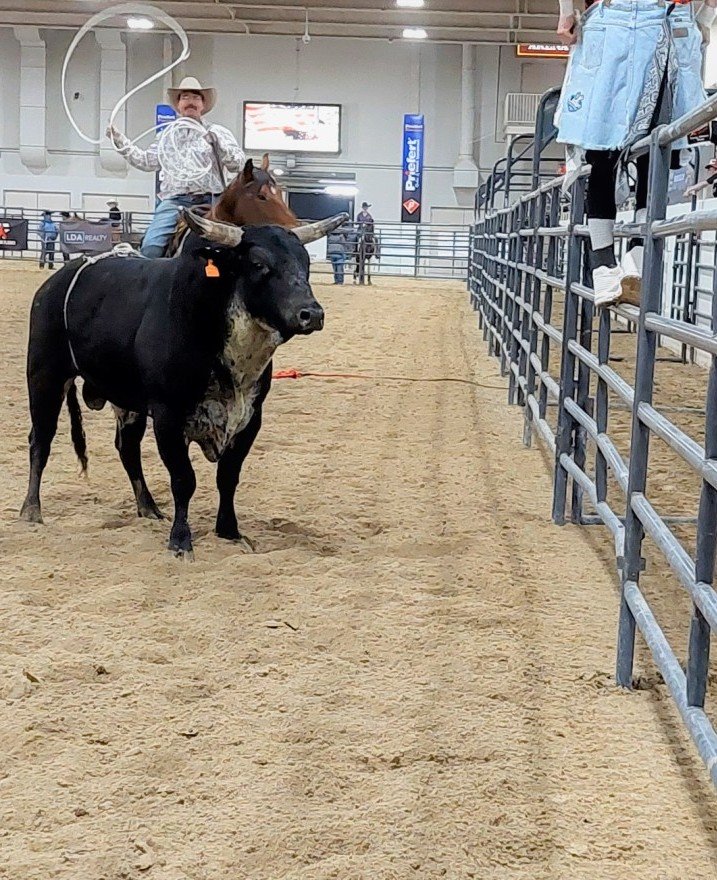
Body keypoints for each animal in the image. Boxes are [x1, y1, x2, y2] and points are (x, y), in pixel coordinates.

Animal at [20, 210, 347, 558]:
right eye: (259, 263)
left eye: (305, 262)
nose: (311, 314)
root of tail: (56, 281)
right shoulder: (168, 417)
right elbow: (183, 480)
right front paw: (180, 540)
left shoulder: (250, 419)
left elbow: (228, 477)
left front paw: (229, 532)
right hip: (44, 378)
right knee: (40, 440)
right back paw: (31, 510)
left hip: (126, 401)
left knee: (127, 449)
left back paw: (148, 508)